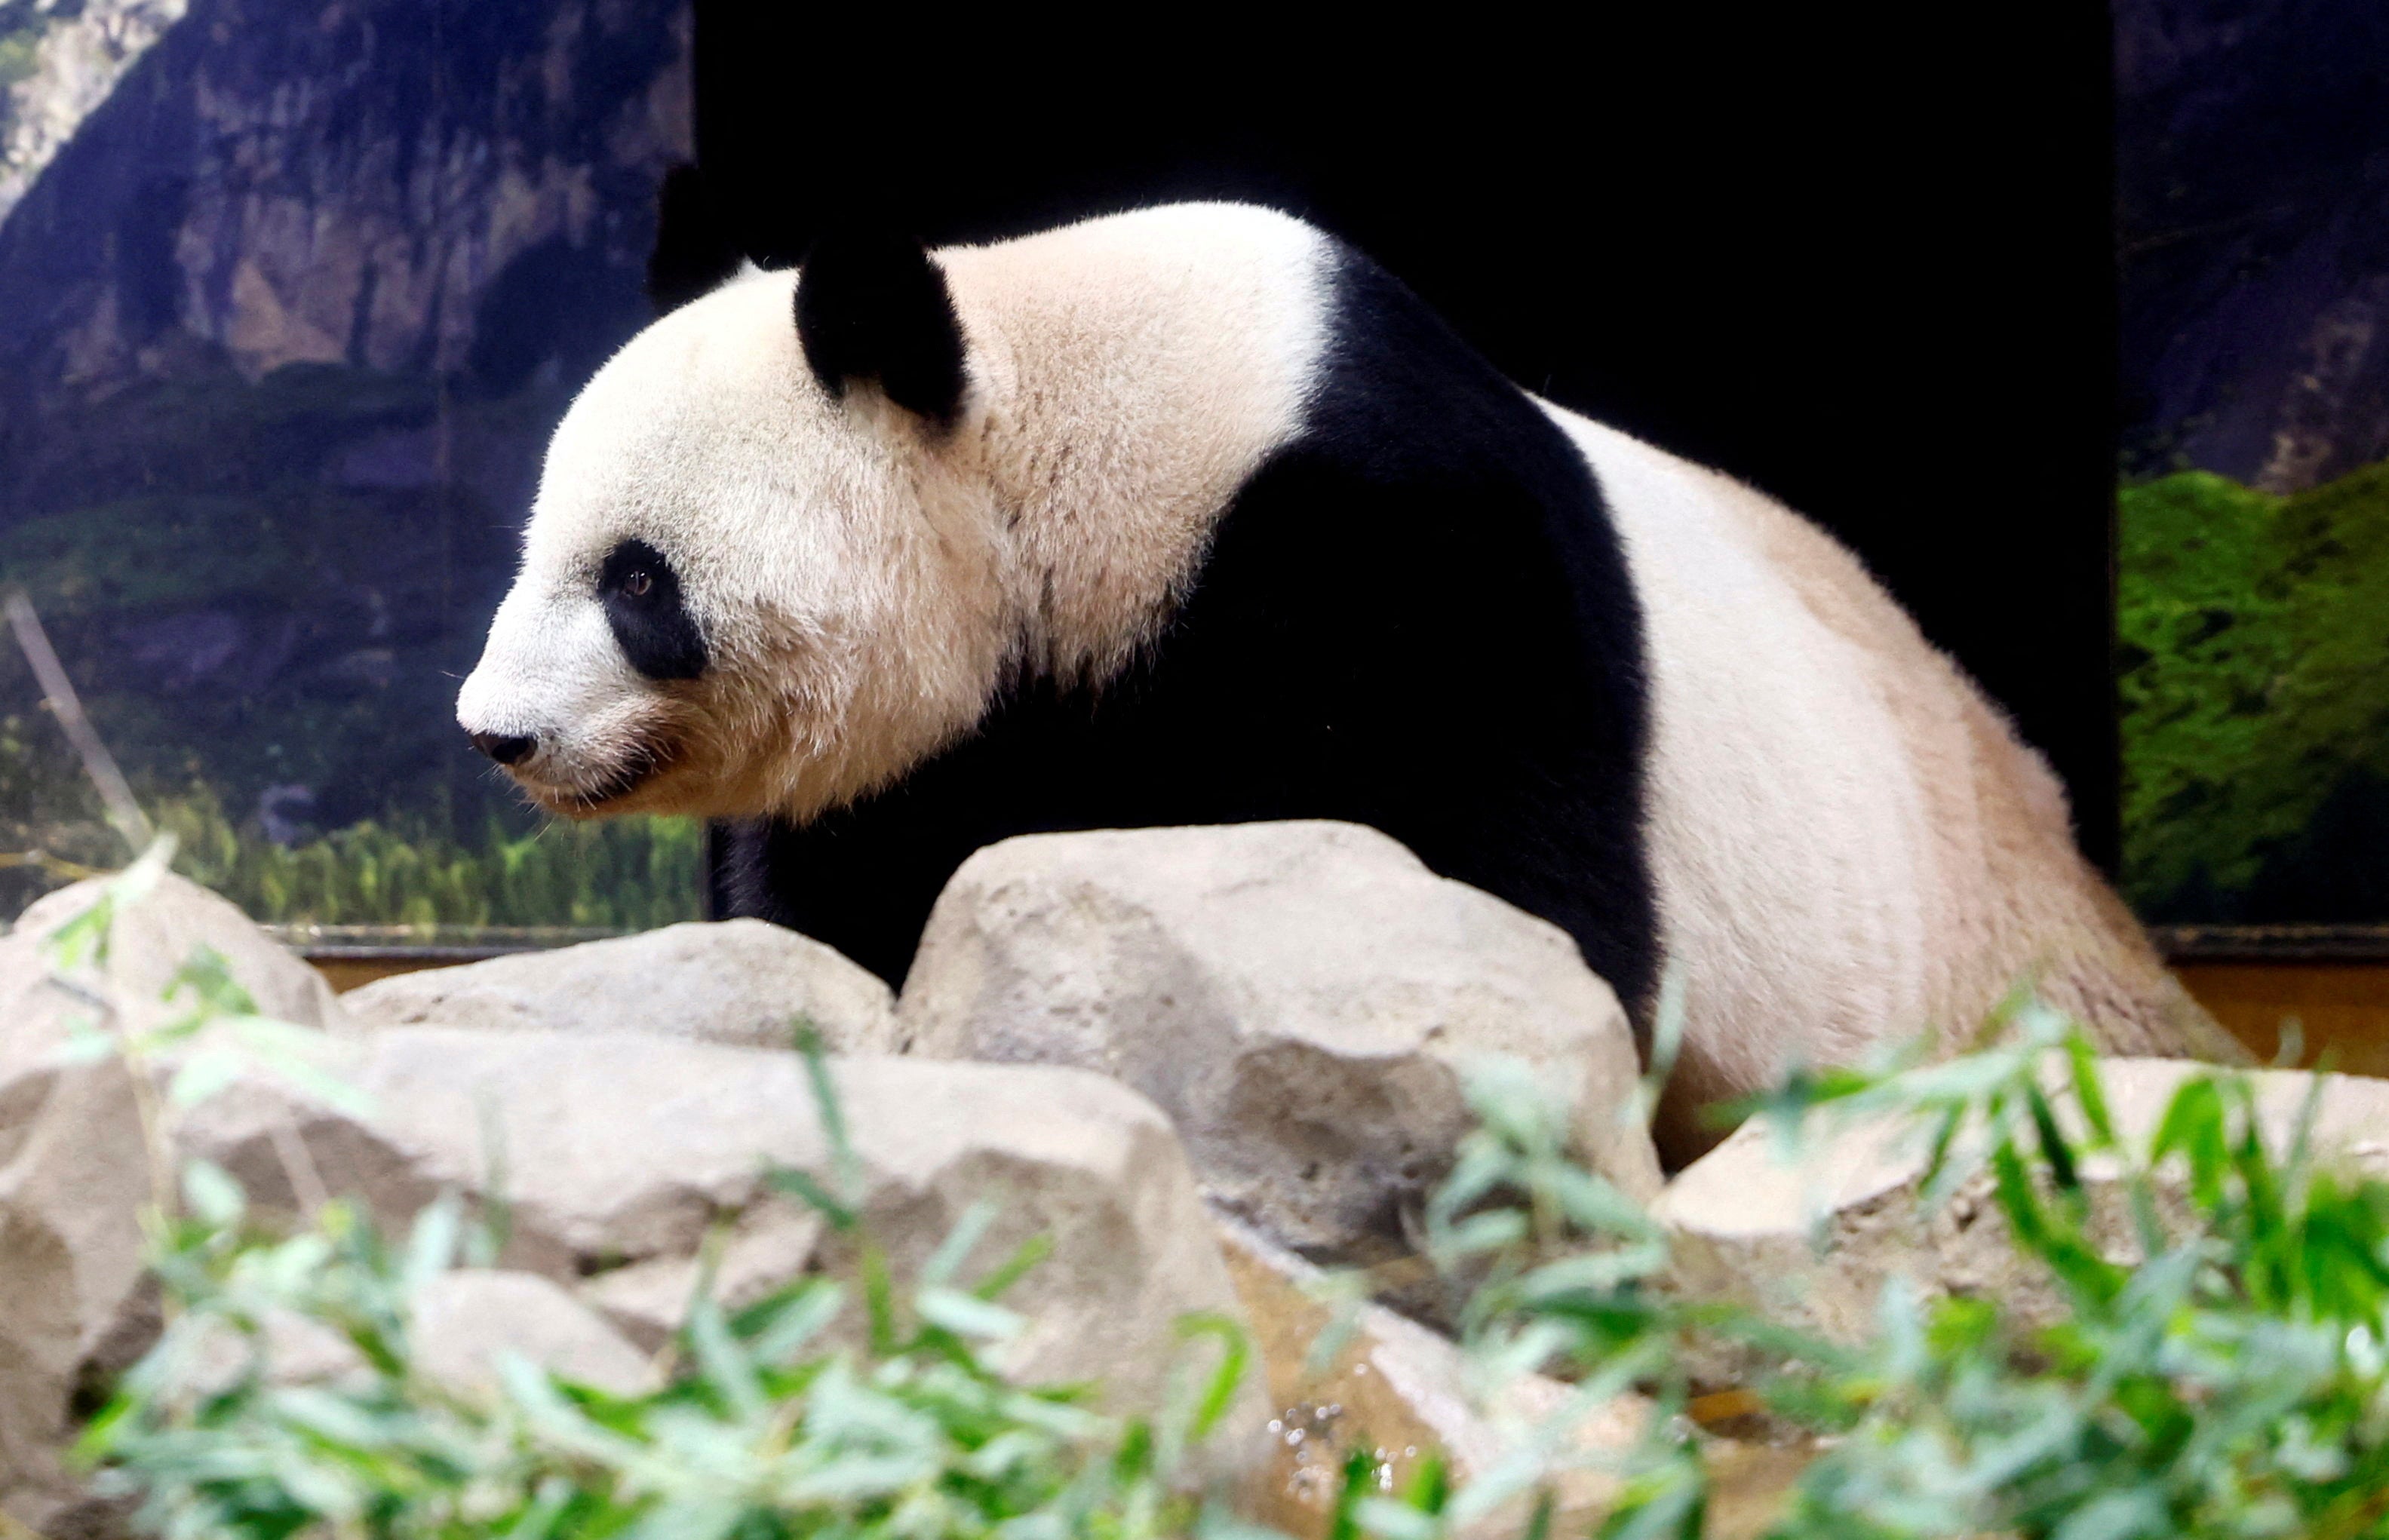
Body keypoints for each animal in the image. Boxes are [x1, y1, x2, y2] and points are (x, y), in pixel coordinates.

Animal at [451, 201, 2236, 1155]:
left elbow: (1506, 890)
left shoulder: (1407, 552)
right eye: (538, 549)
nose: (495, 734)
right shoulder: (963, 725)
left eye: (635, 580)